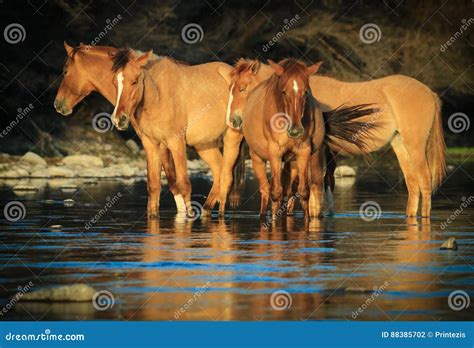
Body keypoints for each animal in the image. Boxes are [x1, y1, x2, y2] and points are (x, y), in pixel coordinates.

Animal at [222, 59, 444, 218]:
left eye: (243, 87)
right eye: (230, 88)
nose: (233, 120)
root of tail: (429, 92)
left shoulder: (317, 151)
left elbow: (314, 185)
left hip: (416, 146)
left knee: (424, 181)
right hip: (400, 145)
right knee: (413, 184)